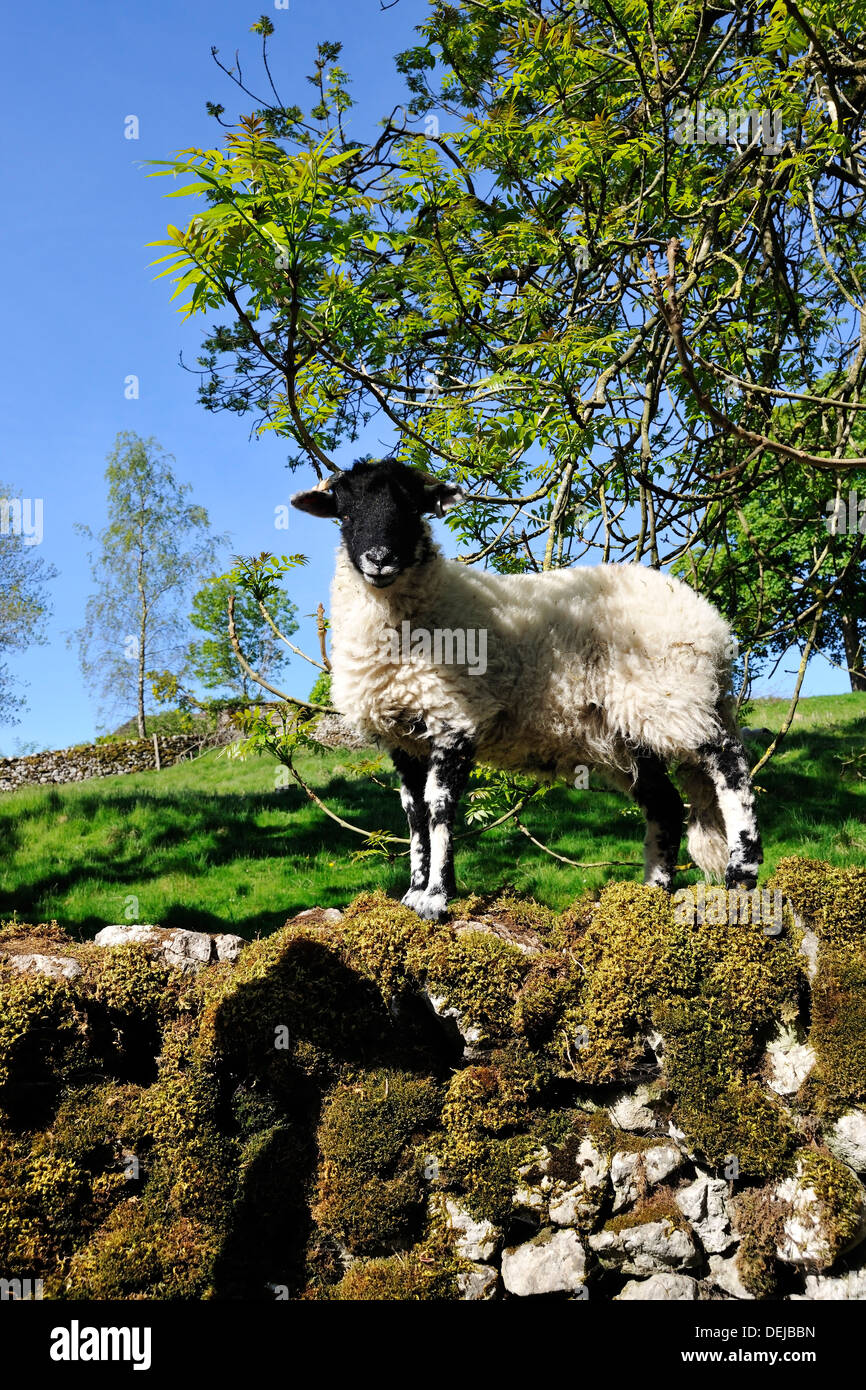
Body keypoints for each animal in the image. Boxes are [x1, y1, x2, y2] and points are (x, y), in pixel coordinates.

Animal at [292, 458, 761, 922]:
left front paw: (437, 899)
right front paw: (412, 894)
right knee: (665, 803)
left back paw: (742, 871)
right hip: (629, 728)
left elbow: (440, 807)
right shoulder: (403, 738)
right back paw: (652, 893)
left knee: (729, 764)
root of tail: (711, 623)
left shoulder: (455, 717)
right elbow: (414, 812)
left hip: (675, 695)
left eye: (411, 509)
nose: (379, 560)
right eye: (346, 515)